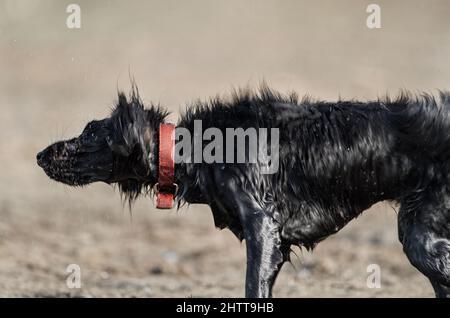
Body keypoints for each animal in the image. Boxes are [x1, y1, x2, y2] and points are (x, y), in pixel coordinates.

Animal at [37, 85, 450, 296]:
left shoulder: (263, 228)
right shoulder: (275, 243)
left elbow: (253, 285)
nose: (40, 155)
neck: (197, 147)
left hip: (421, 238)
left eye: (90, 131)